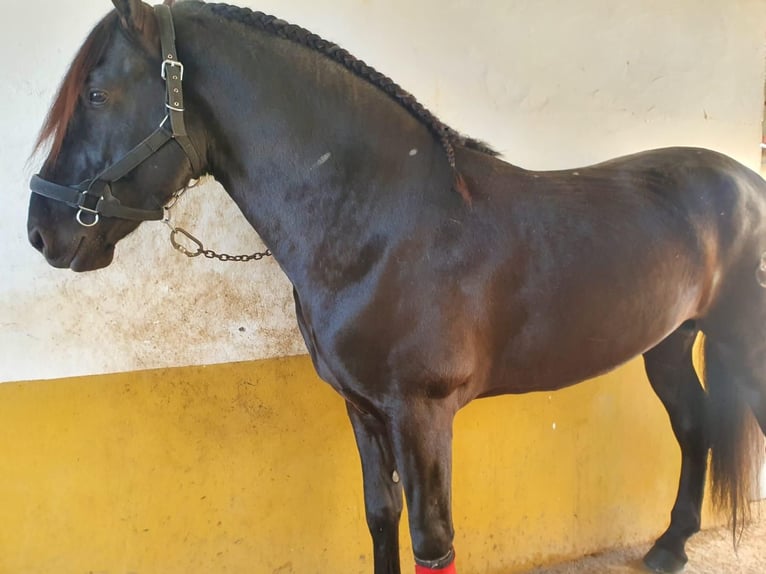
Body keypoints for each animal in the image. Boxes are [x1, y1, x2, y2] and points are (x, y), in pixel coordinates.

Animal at [26, 1, 766, 573]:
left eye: (96, 95)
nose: (41, 231)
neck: (382, 221)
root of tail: (747, 180)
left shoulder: (423, 414)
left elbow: (432, 543)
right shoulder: (363, 410)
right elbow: (381, 518)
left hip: (742, 349)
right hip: (668, 344)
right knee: (694, 426)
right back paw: (670, 546)